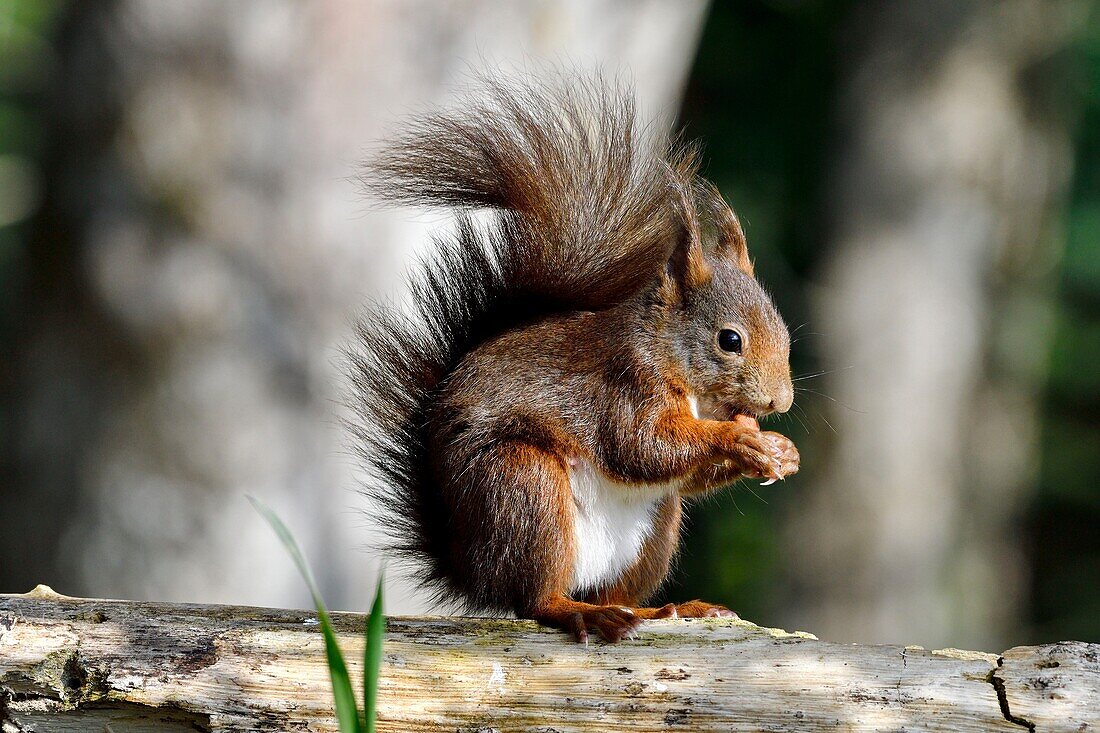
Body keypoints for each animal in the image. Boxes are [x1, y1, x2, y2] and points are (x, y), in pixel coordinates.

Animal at [352, 78, 800, 638]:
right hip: (523, 486)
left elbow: (683, 474)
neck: (676, 362)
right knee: (534, 599)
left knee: (618, 589)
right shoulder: (625, 383)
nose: (781, 403)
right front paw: (739, 438)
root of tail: (471, 567)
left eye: (783, 331)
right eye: (730, 340)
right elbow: (642, 446)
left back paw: (664, 609)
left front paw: (781, 450)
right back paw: (578, 611)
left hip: (655, 529)